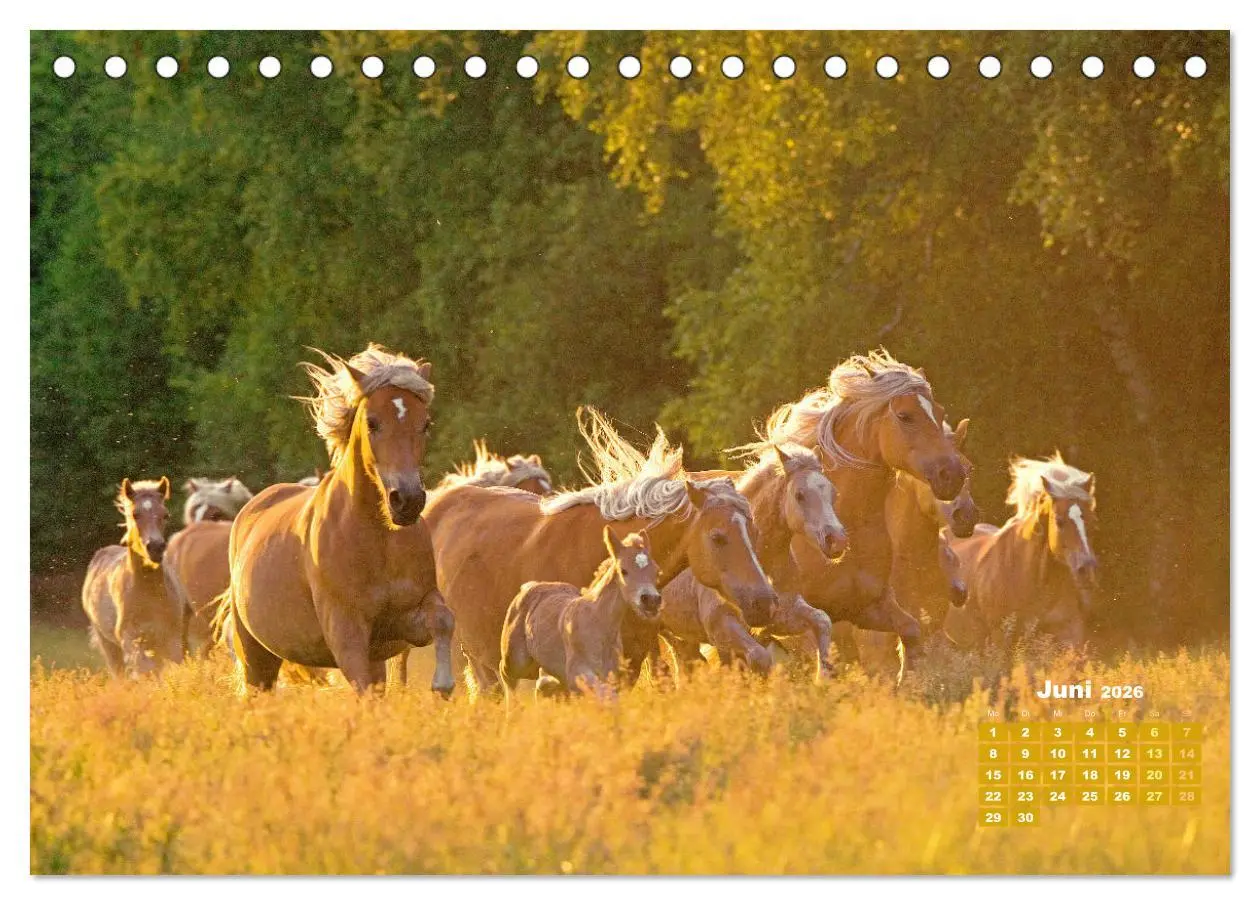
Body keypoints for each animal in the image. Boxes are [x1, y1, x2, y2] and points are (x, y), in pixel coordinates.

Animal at [80, 478, 184, 677]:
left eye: (165, 515)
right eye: (135, 514)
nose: (156, 547)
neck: (149, 591)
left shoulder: (172, 638)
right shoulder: (130, 639)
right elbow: (145, 670)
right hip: (108, 645)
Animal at [216, 344, 455, 695]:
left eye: (426, 424)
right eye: (372, 422)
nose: (407, 501)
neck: (380, 539)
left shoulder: (400, 624)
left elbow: (443, 619)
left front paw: (443, 684)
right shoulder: (347, 634)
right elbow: (363, 689)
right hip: (256, 658)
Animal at [500, 527, 660, 702]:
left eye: (656, 571)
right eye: (623, 570)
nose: (651, 600)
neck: (598, 624)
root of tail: (528, 586)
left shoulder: (611, 677)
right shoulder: (578, 674)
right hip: (517, 661)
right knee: (507, 674)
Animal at [656, 444, 847, 680]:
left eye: (832, 493)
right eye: (799, 495)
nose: (837, 540)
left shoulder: (779, 616)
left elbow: (822, 620)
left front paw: (824, 678)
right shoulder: (722, 625)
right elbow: (759, 658)